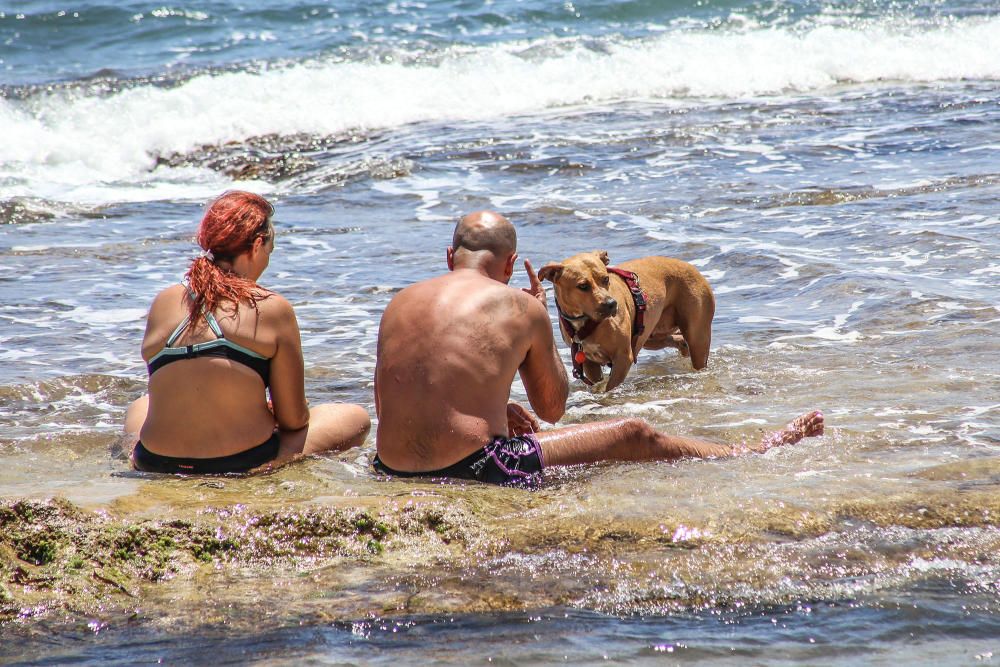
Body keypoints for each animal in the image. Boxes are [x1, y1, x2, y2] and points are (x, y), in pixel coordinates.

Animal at [540, 253, 712, 394]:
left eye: (606, 279)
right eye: (582, 286)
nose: (611, 304)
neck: (585, 322)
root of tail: (691, 266)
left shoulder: (623, 357)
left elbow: (610, 386)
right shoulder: (588, 362)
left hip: (697, 336)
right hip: (649, 336)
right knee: (677, 339)